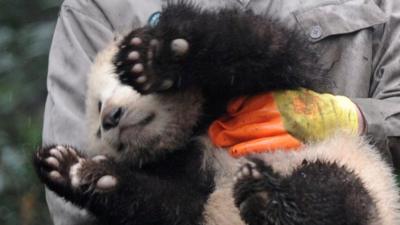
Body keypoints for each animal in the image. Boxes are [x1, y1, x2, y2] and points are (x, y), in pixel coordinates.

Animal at [34, 2, 400, 225]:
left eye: (118, 81)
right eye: (97, 111)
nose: (110, 118)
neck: (199, 122)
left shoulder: (289, 83)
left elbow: (257, 46)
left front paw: (155, 56)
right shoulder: (185, 173)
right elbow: (170, 204)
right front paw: (72, 168)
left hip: (360, 178)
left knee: (334, 189)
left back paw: (268, 198)